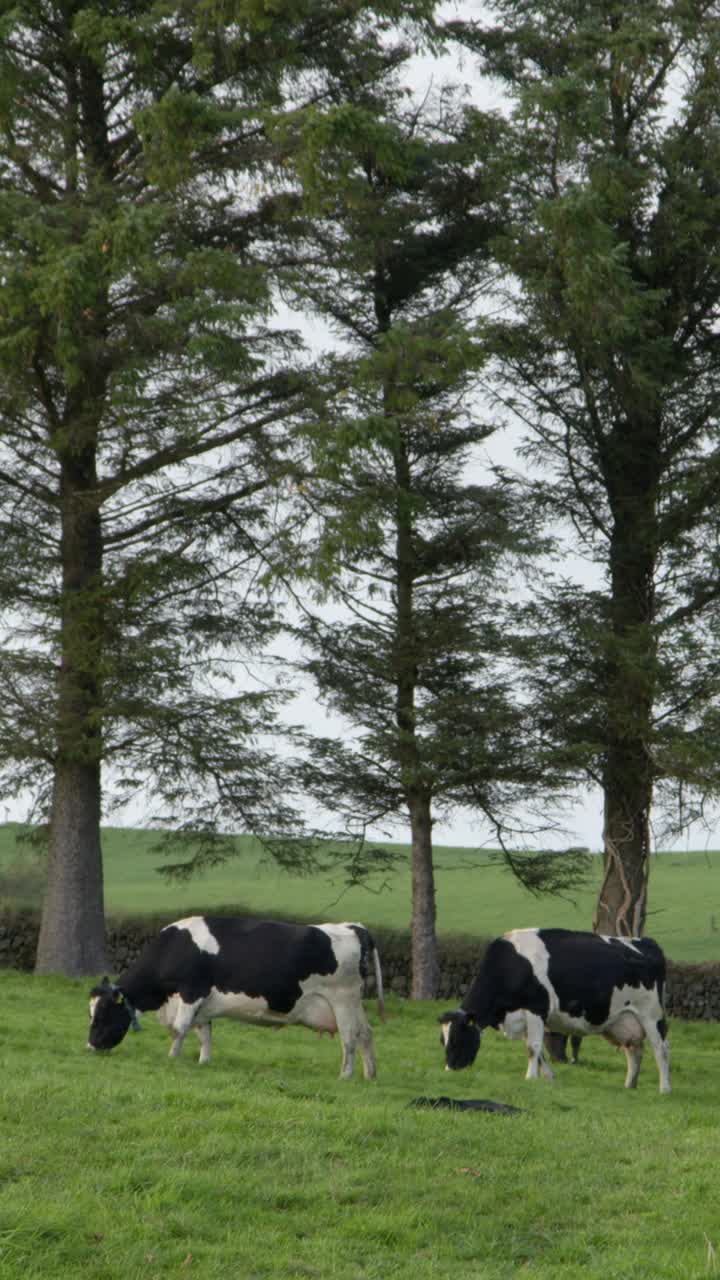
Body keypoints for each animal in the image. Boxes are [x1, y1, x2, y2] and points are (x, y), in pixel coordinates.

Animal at [87, 911, 384, 1080]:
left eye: (103, 1014)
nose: (90, 1047)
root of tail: (354, 927)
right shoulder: (203, 1005)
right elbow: (204, 1034)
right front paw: (203, 1062)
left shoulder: (191, 992)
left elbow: (179, 1028)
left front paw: (172, 1058)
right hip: (355, 1003)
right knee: (366, 1034)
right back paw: (370, 1075)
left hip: (342, 1000)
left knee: (349, 1039)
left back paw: (345, 1076)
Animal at [440, 926, 671, 1095]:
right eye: (443, 1041)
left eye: (458, 1038)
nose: (450, 1069)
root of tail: (646, 942)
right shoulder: (524, 1017)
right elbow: (538, 1050)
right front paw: (549, 1078)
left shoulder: (535, 1009)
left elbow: (533, 1047)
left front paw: (530, 1078)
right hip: (624, 1020)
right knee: (634, 1050)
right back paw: (629, 1085)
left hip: (652, 1016)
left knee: (660, 1049)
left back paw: (664, 1088)